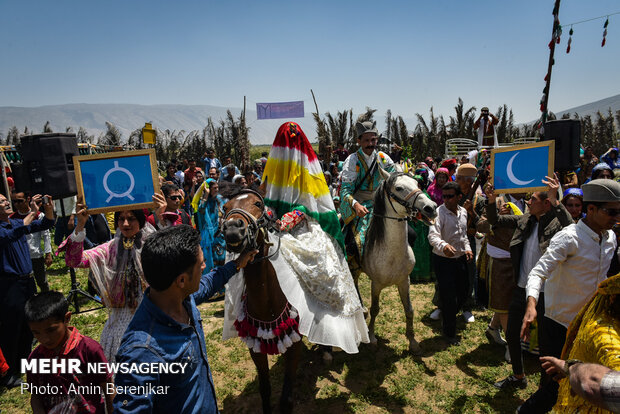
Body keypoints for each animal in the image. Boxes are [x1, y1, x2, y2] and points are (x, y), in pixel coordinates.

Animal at [222, 189, 302, 412]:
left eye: (258, 203)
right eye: (225, 207)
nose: (233, 228)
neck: (269, 304)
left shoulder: (294, 345)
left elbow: (287, 399)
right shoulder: (255, 348)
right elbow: (264, 389)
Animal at [358, 167, 436, 354]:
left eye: (417, 183)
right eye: (399, 188)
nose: (431, 208)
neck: (392, 252)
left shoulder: (404, 281)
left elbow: (409, 310)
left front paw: (413, 342)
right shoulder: (376, 284)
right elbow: (375, 309)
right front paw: (372, 337)